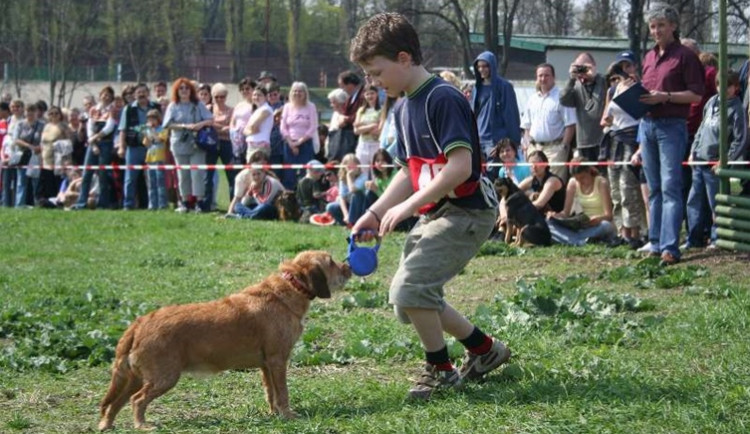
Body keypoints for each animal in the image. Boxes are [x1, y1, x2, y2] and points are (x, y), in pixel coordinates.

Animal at [98, 251, 354, 430]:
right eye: (331, 262)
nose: (349, 267)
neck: (290, 287)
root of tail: (139, 322)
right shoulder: (278, 360)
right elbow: (282, 393)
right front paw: (288, 415)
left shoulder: (266, 365)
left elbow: (270, 393)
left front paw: (274, 414)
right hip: (163, 377)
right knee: (137, 400)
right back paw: (142, 425)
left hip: (134, 378)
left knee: (114, 403)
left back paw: (106, 425)